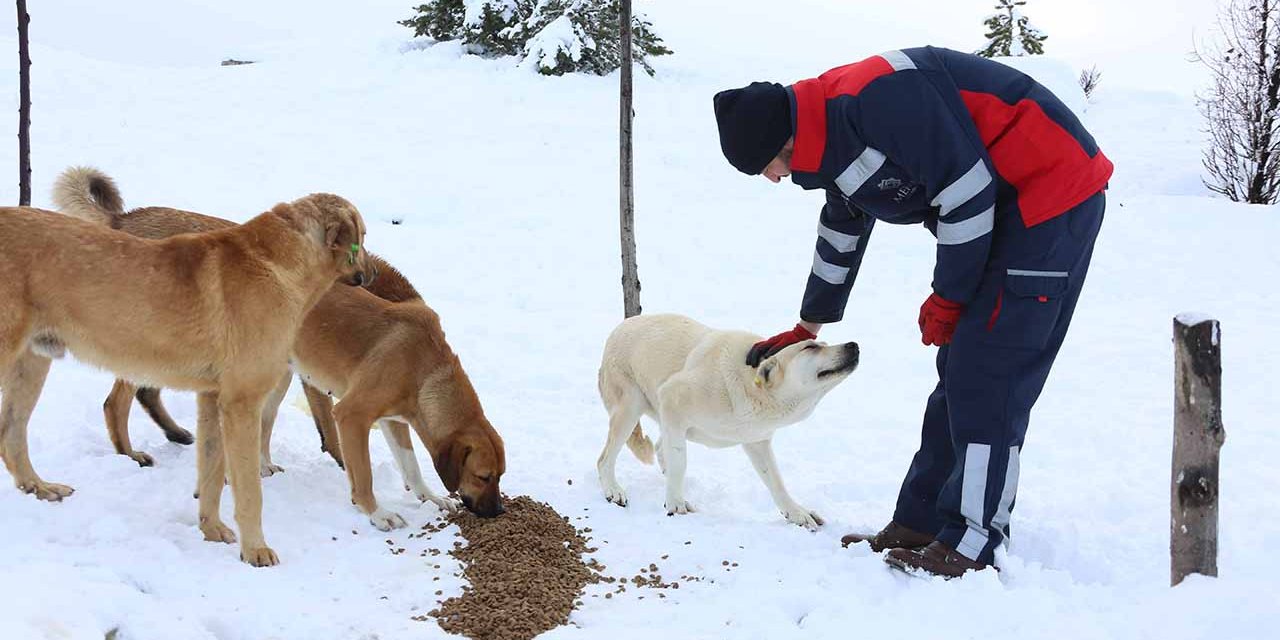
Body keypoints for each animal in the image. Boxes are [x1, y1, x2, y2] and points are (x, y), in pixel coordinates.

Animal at [3, 167, 373, 568]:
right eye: (363, 236)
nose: (368, 275)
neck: (282, 264)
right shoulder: (241, 404)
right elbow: (249, 490)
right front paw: (256, 551)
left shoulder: (212, 399)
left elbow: (211, 474)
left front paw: (212, 532)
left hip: (33, 363)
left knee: (12, 434)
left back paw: (40, 487)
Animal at [55, 167, 506, 532]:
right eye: (484, 476)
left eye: (500, 476)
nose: (498, 512)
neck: (426, 368)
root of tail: (121, 220)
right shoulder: (353, 414)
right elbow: (360, 473)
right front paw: (376, 513)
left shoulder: (394, 420)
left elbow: (411, 466)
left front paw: (429, 496)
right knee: (117, 403)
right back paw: (134, 455)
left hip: (271, 374)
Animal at [596, 312, 860, 527]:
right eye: (810, 348)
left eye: (822, 344)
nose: (853, 345)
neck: (751, 386)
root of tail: (620, 327)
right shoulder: (671, 398)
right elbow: (680, 462)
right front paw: (675, 503)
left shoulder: (757, 442)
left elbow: (776, 482)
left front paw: (796, 513)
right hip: (630, 409)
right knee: (605, 459)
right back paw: (614, 490)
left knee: (662, 447)